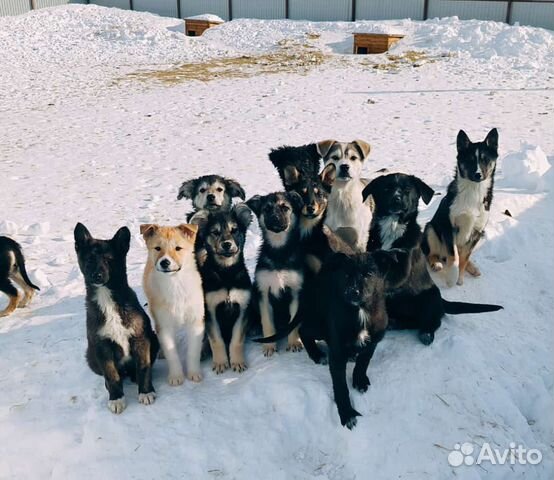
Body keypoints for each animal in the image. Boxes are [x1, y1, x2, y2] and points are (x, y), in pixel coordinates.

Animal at [73, 221, 157, 412]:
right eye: (89, 259)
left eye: (109, 259)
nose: (97, 275)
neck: (107, 298)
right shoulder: (102, 346)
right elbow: (111, 375)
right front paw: (116, 398)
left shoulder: (140, 338)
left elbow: (143, 366)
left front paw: (146, 392)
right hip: (91, 356)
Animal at [189, 204, 251, 374]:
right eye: (215, 232)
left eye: (234, 230)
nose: (227, 244)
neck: (226, 273)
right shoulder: (210, 310)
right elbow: (216, 340)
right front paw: (220, 363)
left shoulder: (242, 308)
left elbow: (237, 340)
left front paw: (237, 362)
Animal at [247, 191, 304, 356]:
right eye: (266, 209)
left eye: (285, 207)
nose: (275, 219)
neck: (279, 253)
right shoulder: (264, 293)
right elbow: (267, 323)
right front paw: (269, 347)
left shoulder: (296, 292)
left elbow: (293, 324)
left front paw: (294, 343)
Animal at [360, 172, 502, 344]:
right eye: (386, 188)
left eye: (407, 189)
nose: (396, 199)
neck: (392, 228)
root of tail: (441, 301)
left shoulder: (403, 268)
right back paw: (393, 323)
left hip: (429, 297)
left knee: (432, 320)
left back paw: (426, 333)